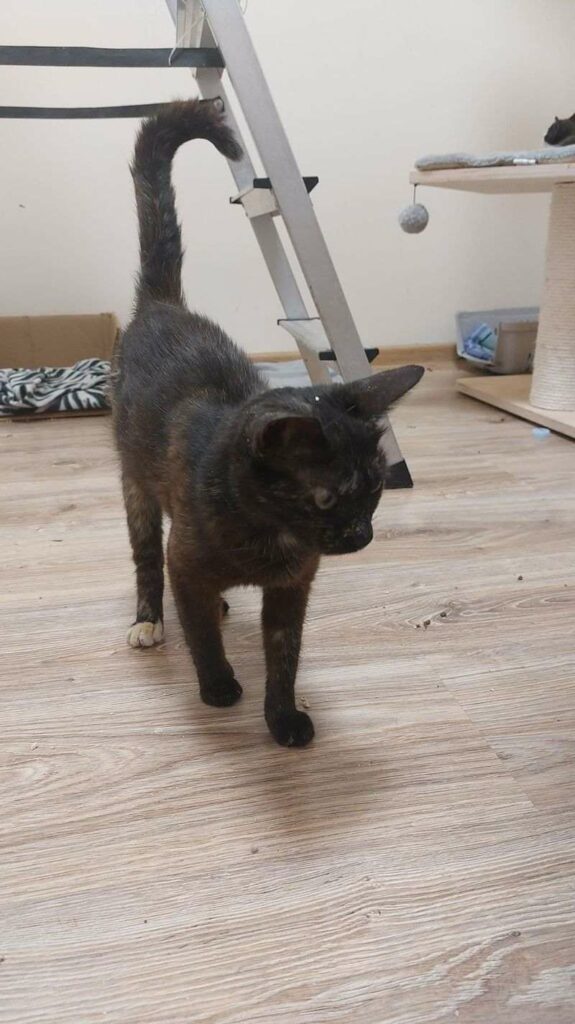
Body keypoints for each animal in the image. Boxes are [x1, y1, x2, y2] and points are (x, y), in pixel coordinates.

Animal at [112, 98, 424, 747]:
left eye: (376, 488)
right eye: (326, 497)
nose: (362, 535)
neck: (271, 533)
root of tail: (163, 306)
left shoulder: (291, 589)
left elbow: (284, 654)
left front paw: (283, 719)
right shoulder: (190, 562)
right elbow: (200, 631)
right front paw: (218, 687)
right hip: (134, 486)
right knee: (148, 558)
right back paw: (150, 619)